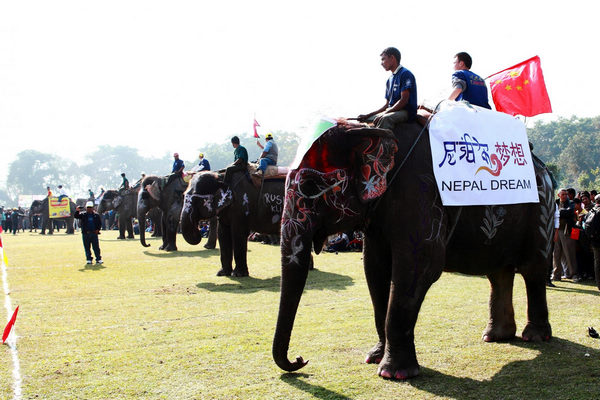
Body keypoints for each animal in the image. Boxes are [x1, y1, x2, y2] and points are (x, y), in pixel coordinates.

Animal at [272, 123, 552, 380]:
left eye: (310, 186)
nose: (300, 360)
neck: (370, 126)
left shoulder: (420, 194)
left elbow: (419, 267)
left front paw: (394, 373)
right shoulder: (378, 217)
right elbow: (374, 269)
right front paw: (374, 357)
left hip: (541, 210)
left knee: (533, 270)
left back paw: (535, 337)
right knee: (498, 273)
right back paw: (495, 336)